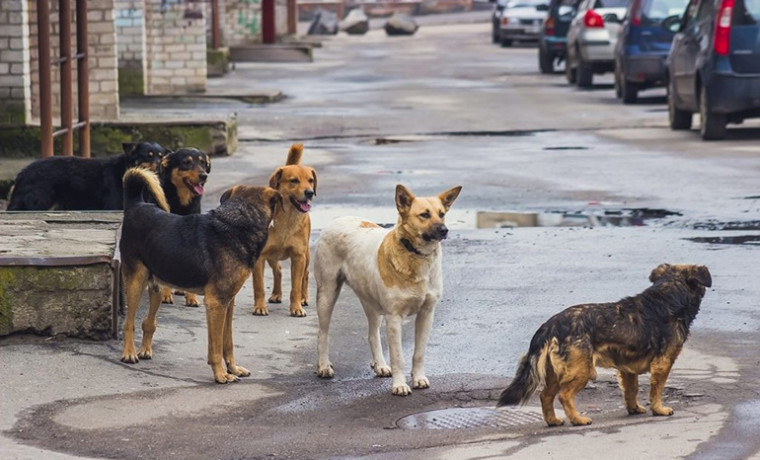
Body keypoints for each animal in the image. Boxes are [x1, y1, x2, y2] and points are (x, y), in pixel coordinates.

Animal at [8, 141, 168, 211]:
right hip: (39, 203)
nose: (160, 165)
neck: (125, 169)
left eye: (161, 156)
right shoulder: (113, 206)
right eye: (148, 156)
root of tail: (22, 174)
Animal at [120, 167, 280, 382]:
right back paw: (129, 353)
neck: (240, 221)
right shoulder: (216, 303)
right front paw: (221, 374)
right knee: (129, 323)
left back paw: (145, 350)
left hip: (157, 286)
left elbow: (227, 342)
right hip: (136, 282)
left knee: (148, 322)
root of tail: (136, 205)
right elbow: (216, 348)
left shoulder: (228, 303)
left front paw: (233, 368)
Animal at [157, 149, 211, 308]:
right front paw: (166, 295)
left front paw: (191, 298)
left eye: (203, 163)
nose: (204, 176)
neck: (181, 203)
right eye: (186, 162)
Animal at [498, 264, 712, 426]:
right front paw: (659, 409)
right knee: (564, 395)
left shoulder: (627, 368)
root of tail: (550, 325)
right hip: (582, 370)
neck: (669, 295)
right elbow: (656, 389)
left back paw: (553, 421)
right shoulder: (663, 363)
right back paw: (578, 419)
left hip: (555, 373)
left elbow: (631, 390)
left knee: (545, 396)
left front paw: (634, 408)